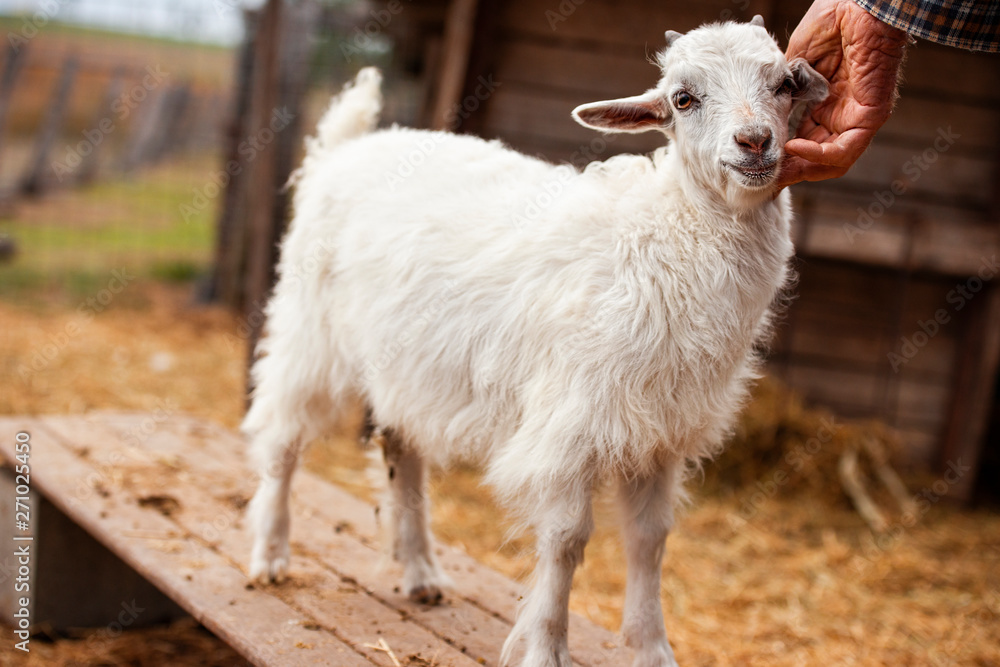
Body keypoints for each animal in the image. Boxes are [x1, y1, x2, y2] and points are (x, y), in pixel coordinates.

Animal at [243, 16, 827, 667]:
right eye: (683, 98)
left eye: (784, 84)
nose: (754, 142)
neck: (665, 233)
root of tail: (347, 147)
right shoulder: (570, 422)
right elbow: (567, 540)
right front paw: (546, 648)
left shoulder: (660, 430)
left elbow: (649, 540)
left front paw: (652, 648)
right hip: (311, 331)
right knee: (282, 436)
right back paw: (270, 556)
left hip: (407, 360)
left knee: (402, 449)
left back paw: (421, 573)